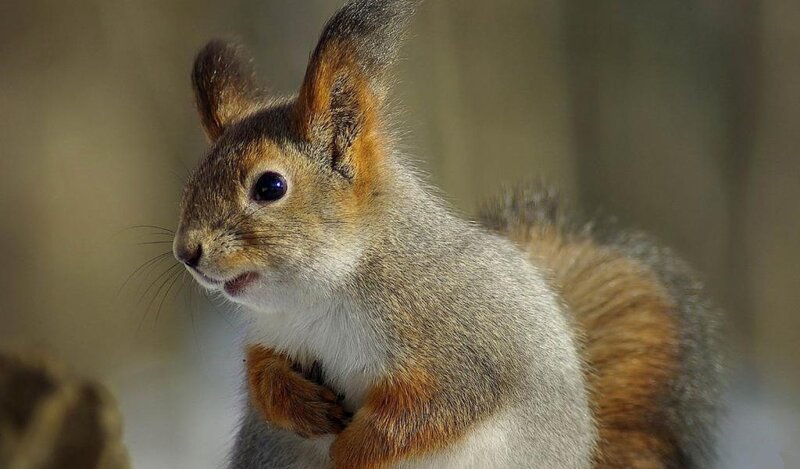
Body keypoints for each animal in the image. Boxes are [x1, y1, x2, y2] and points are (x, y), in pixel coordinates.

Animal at [173, 0, 723, 467]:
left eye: (271, 186)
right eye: (195, 176)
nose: (187, 251)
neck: (320, 296)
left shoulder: (464, 344)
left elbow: (434, 408)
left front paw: (349, 451)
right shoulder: (274, 335)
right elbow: (260, 371)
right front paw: (293, 400)